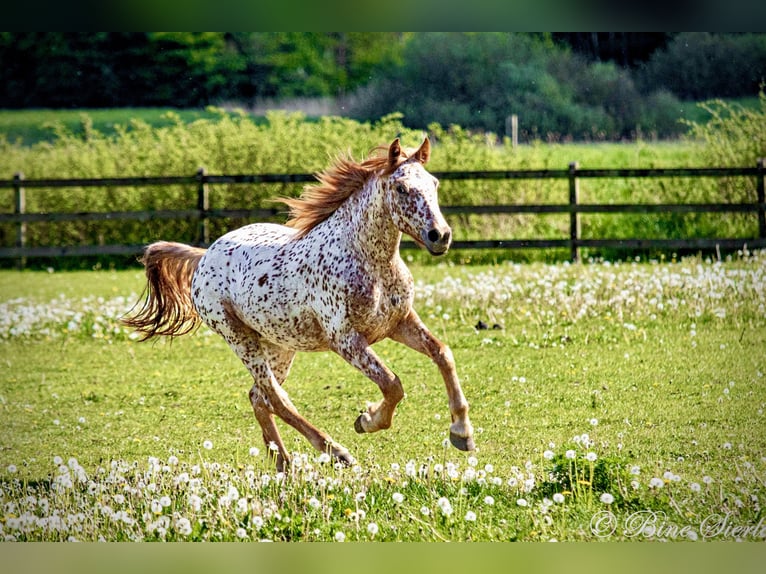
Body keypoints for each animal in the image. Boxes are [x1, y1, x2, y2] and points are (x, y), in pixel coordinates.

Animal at [123, 137, 475, 470]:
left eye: (434, 184)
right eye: (401, 188)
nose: (440, 235)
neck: (369, 261)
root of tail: (204, 256)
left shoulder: (398, 323)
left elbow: (442, 353)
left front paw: (461, 432)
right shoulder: (345, 340)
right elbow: (392, 385)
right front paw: (367, 420)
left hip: (279, 345)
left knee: (258, 397)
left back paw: (283, 464)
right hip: (240, 339)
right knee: (276, 398)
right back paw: (335, 452)